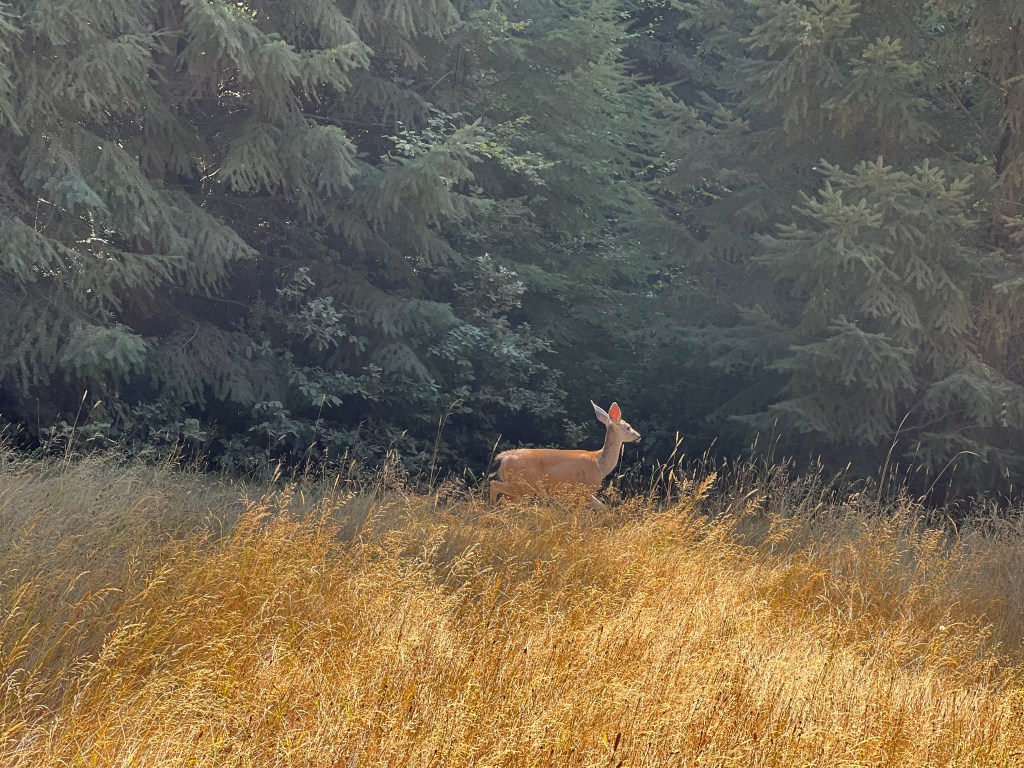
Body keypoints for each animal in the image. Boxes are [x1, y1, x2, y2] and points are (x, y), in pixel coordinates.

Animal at [488, 401, 641, 508]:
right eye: (628, 427)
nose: (638, 436)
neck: (599, 464)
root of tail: (503, 458)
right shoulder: (584, 489)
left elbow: (603, 508)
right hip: (523, 483)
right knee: (494, 485)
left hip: (520, 486)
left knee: (504, 499)